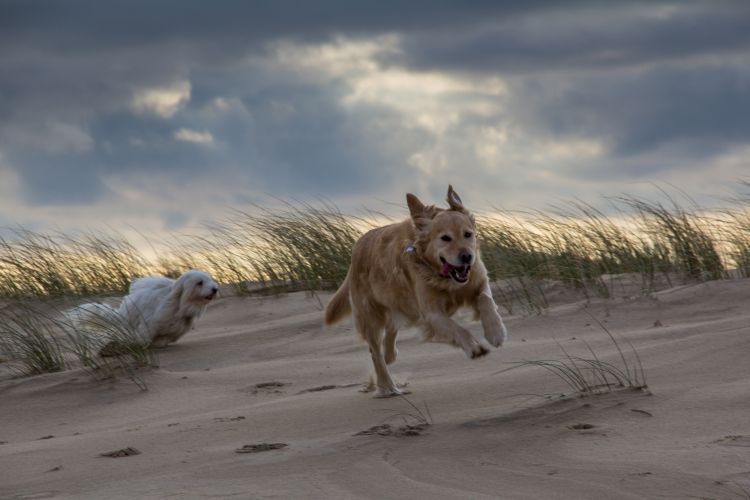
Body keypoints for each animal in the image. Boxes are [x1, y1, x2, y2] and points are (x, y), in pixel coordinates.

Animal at [68, 272, 217, 350]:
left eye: (210, 279)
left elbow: (162, 340)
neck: (179, 305)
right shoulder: (149, 324)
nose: (215, 289)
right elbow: (143, 338)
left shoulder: (172, 332)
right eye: (199, 282)